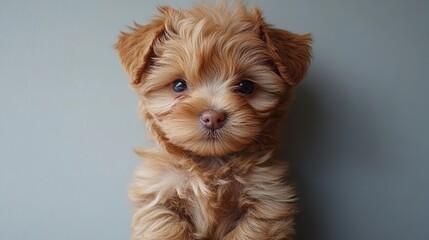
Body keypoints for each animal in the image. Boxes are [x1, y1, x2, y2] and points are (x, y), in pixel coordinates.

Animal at [115, 0, 310, 239]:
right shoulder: (158, 196)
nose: (213, 117)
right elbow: (167, 226)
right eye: (178, 85)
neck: (212, 164)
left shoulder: (266, 199)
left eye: (246, 86)